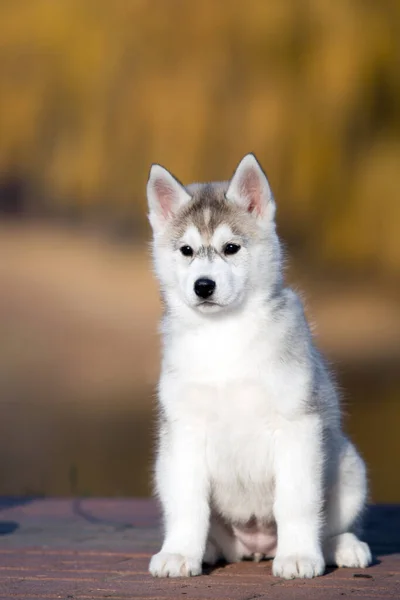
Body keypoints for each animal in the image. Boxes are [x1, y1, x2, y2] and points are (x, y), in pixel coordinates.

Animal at [146, 154, 372, 576]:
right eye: (186, 250)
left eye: (231, 247)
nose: (203, 286)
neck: (224, 336)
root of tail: (255, 545)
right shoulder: (184, 431)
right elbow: (188, 505)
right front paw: (180, 553)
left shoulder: (297, 425)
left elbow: (296, 503)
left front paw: (298, 556)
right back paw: (208, 550)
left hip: (349, 467)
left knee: (330, 526)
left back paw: (342, 547)